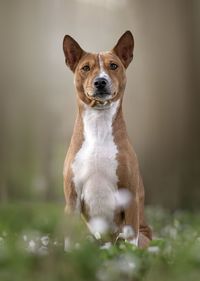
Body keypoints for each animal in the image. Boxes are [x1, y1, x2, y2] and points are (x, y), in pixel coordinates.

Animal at [62, 29, 152, 246]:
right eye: (85, 68)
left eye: (113, 65)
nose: (100, 81)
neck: (98, 125)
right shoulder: (72, 198)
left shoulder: (130, 197)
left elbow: (131, 241)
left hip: (144, 237)